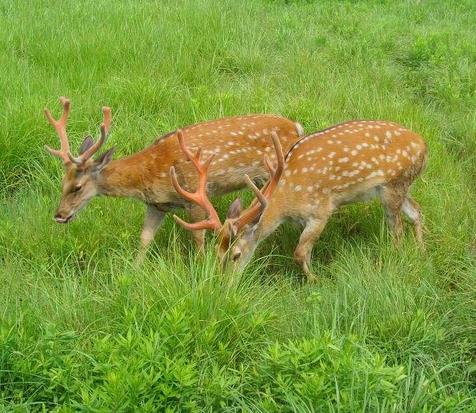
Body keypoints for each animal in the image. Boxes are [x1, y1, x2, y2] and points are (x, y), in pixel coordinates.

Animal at [45, 96, 304, 260]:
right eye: (62, 183)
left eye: (77, 187)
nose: (59, 215)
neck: (150, 173)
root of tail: (296, 127)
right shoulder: (156, 205)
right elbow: (144, 239)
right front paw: (134, 272)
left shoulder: (194, 195)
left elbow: (198, 239)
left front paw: (202, 268)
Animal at [171, 119, 428, 280]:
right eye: (217, 254)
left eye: (236, 255)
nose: (223, 286)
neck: (285, 203)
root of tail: (425, 146)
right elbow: (306, 252)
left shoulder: (321, 211)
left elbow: (299, 253)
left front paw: (317, 280)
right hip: (399, 187)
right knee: (416, 211)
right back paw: (421, 249)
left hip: (393, 186)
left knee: (396, 230)